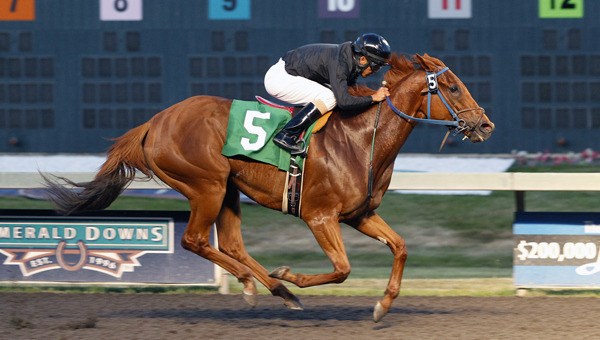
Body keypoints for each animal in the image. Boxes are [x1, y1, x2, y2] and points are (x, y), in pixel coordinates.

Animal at [43, 53, 492, 322]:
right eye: (452, 87)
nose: (485, 124)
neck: (362, 139)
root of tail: (154, 122)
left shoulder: (360, 214)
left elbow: (400, 247)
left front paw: (382, 305)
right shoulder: (319, 216)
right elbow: (342, 269)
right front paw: (291, 273)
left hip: (227, 189)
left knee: (230, 244)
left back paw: (272, 288)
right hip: (206, 185)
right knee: (194, 240)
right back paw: (265, 283)